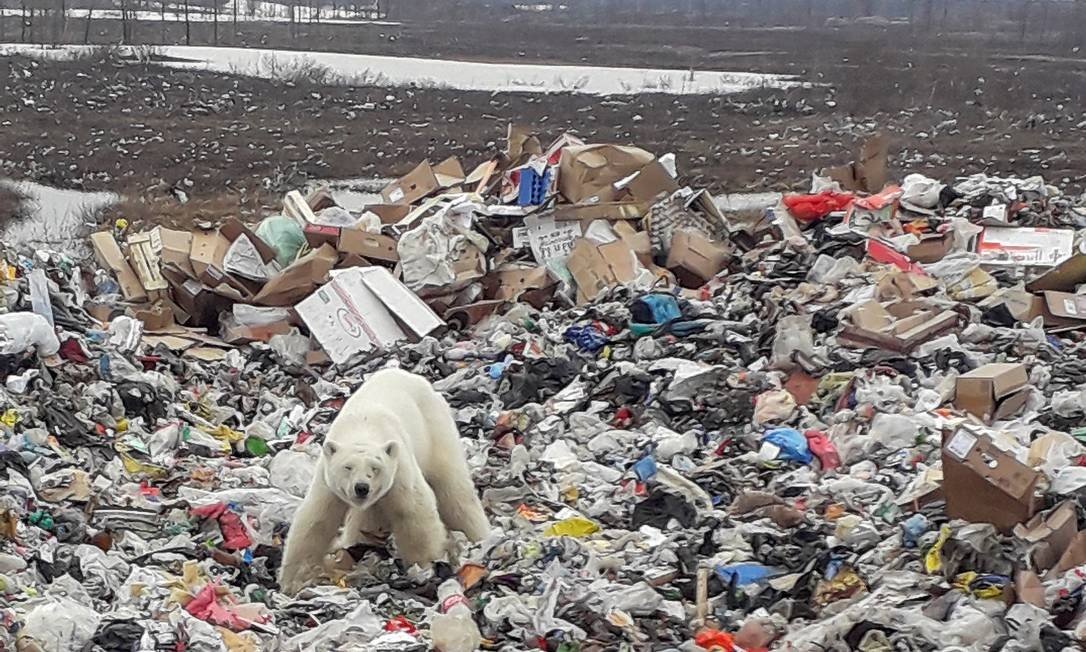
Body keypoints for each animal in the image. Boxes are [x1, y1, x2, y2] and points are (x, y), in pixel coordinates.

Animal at [278, 367, 491, 594]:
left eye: (375, 468)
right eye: (347, 467)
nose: (362, 487)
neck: (363, 427)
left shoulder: (399, 466)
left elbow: (414, 511)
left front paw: (424, 566)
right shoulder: (326, 479)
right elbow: (316, 519)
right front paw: (293, 580)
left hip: (435, 429)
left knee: (453, 488)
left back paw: (478, 537)